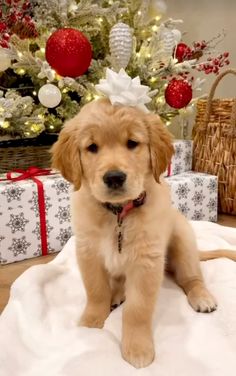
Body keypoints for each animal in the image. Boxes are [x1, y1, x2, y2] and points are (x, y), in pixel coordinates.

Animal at [51, 98, 218, 368]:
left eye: (132, 143)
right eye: (92, 147)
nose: (114, 177)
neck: (118, 213)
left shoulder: (146, 261)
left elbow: (138, 309)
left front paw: (138, 348)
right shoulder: (88, 252)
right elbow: (96, 290)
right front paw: (91, 322)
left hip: (183, 243)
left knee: (192, 278)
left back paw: (202, 297)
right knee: (118, 282)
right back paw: (117, 295)